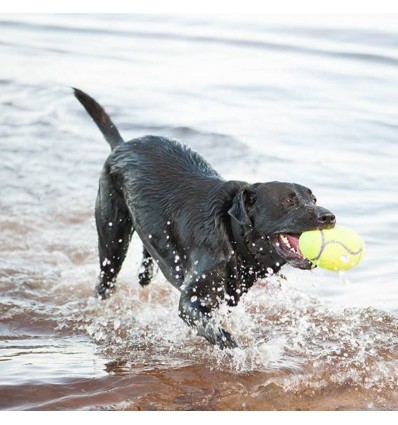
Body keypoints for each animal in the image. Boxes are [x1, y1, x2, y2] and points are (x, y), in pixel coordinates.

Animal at [73, 88, 334, 348]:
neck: (232, 236)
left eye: (313, 198)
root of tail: (121, 145)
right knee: (105, 279)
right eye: (288, 201)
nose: (329, 216)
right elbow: (222, 335)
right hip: (112, 238)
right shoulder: (191, 301)